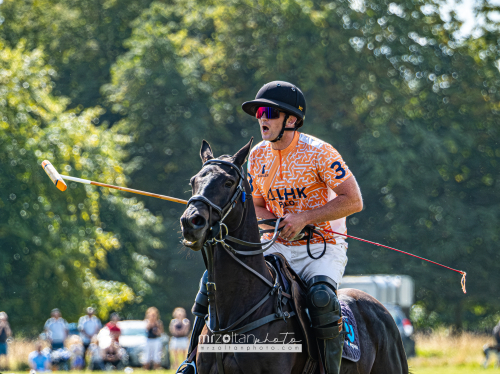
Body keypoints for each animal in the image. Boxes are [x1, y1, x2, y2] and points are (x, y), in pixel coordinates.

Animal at [182, 139, 408, 372]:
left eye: (228, 182)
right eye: (193, 181)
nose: (191, 222)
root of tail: (383, 310)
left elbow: (351, 197)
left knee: (322, 297)